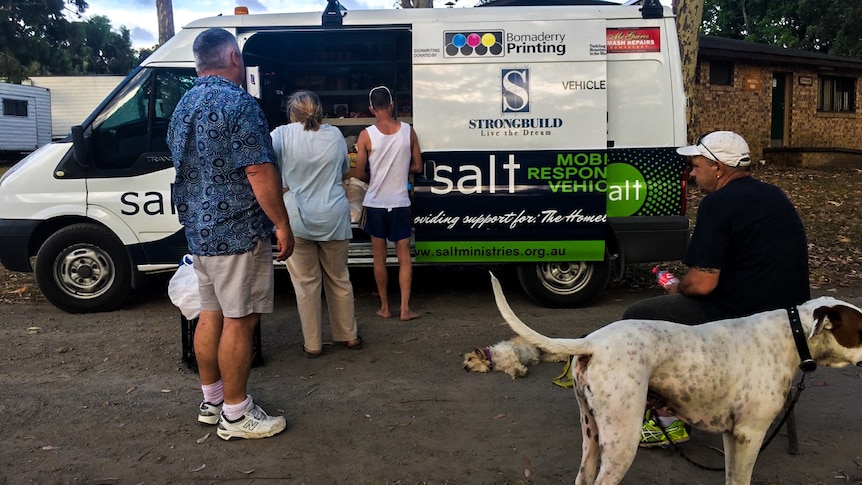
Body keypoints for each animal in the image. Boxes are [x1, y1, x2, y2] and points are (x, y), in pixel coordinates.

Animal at [490, 272, 862, 484]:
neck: (793, 332)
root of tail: (593, 341)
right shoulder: (750, 435)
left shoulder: (732, 436)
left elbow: (731, 478)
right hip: (622, 441)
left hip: (591, 435)